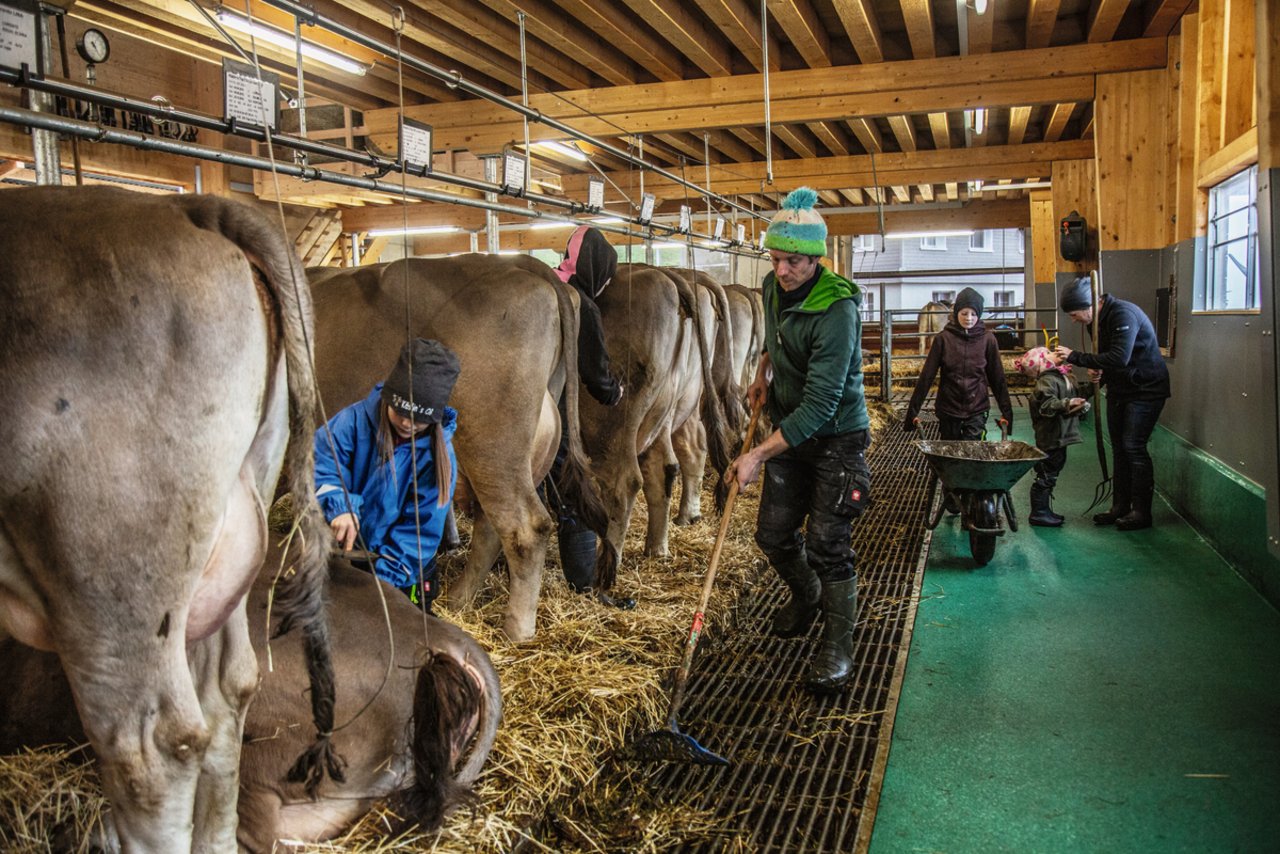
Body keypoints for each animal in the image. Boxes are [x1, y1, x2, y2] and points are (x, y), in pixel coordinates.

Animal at [307, 257, 611, 645]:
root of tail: (519, 263)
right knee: (491, 529)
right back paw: (458, 600)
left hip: (494, 446)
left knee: (525, 529)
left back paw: (516, 629)